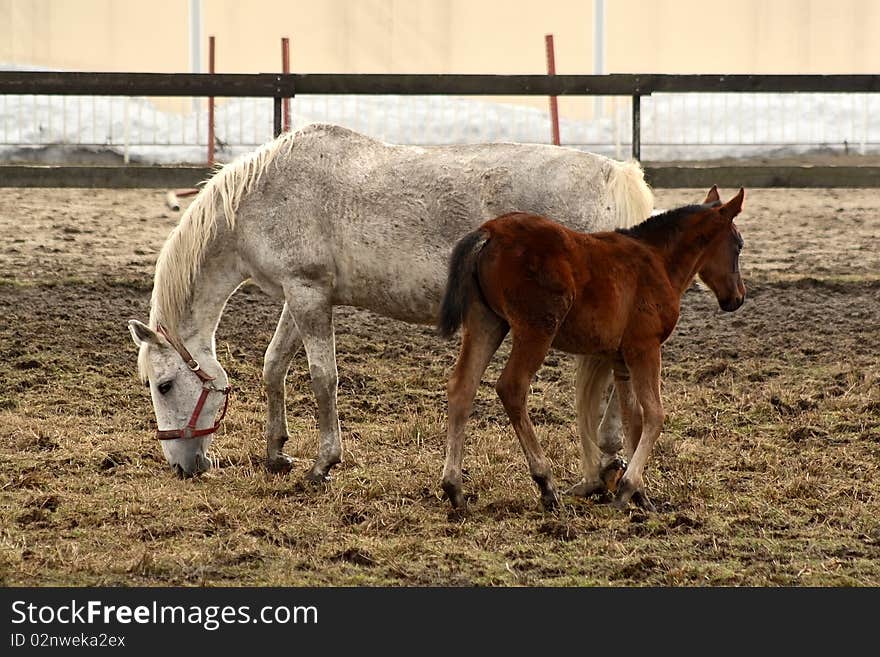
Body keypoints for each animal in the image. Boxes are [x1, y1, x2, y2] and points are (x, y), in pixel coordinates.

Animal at [129, 121, 652, 498]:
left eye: (165, 384)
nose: (182, 467)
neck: (263, 196)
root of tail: (616, 177)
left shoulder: (308, 294)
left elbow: (322, 379)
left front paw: (323, 464)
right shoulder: (300, 297)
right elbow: (274, 365)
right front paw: (276, 454)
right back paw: (608, 462)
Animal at [436, 184, 744, 512]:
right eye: (738, 245)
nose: (737, 297)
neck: (657, 259)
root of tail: (490, 231)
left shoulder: (621, 359)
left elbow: (632, 418)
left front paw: (640, 495)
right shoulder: (645, 348)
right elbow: (654, 414)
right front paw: (628, 488)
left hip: (486, 322)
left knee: (462, 387)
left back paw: (454, 488)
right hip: (536, 329)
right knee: (512, 387)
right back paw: (545, 483)